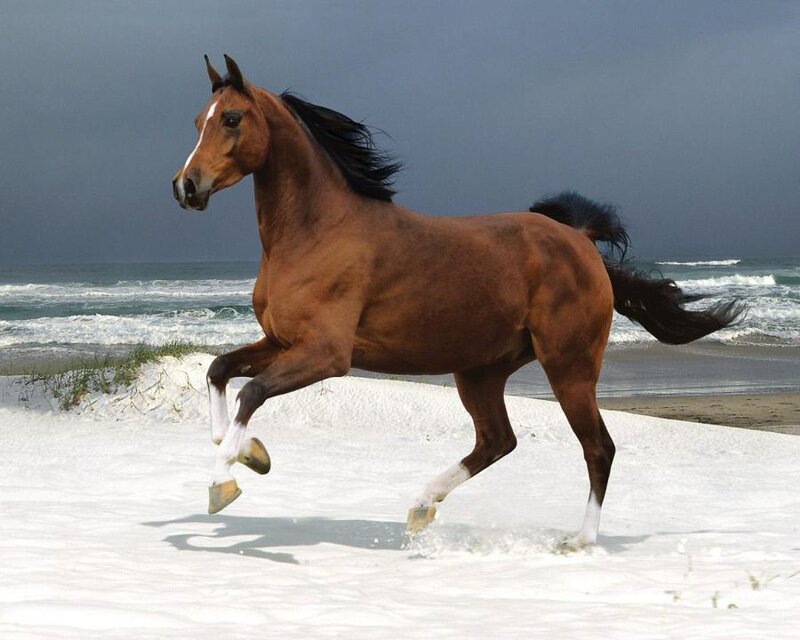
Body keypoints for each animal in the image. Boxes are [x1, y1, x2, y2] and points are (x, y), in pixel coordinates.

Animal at [172, 55, 742, 547]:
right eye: (198, 120)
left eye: (231, 119)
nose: (186, 186)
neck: (315, 231)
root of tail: (579, 240)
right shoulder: (281, 341)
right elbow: (220, 371)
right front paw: (251, 454)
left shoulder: (326, 355)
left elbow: (251, 393)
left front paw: (223, 483)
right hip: (481, 371)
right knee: (498, 441)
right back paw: (421, 506)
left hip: (569, 366)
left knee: (597, 447)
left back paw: (579, 541)